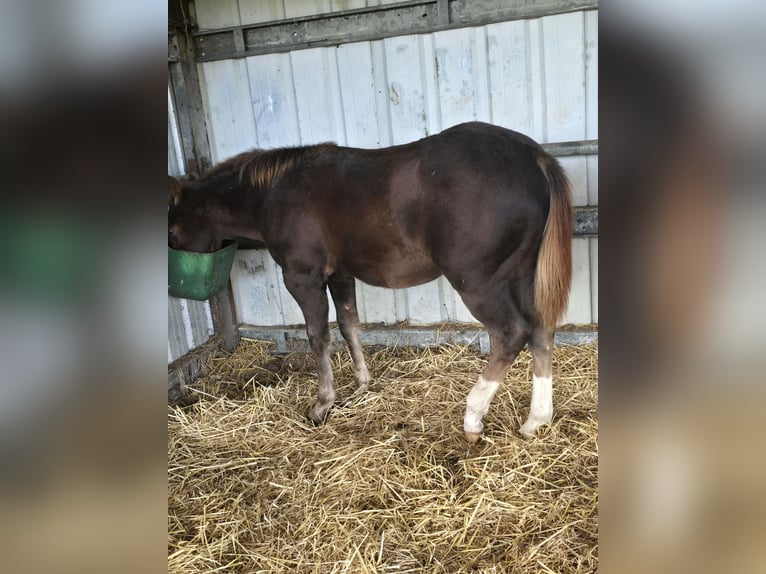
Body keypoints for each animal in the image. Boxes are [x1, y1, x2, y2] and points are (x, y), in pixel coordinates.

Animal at [168, 122, 573, 442]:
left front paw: (322, 405)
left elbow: (318, 337)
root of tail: (534, 158)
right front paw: (361, 385)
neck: (273, 192)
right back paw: (535, 420)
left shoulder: (303, 277)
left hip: (478, 282)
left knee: (510, 334)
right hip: (522, 275)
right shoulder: (340, 274)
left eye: (172, 228)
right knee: (541, 331)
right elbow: (350, 326)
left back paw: (473, 416)